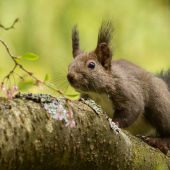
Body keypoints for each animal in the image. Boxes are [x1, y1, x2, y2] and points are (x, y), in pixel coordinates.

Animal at [66, 20, 170, 154]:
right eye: (69, 65)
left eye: (91, 65)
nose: (70, 76)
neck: (98, 93)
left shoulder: (126, 91)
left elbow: (133, 109)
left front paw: (115, 122)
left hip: (159, 104)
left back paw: (157, 141)